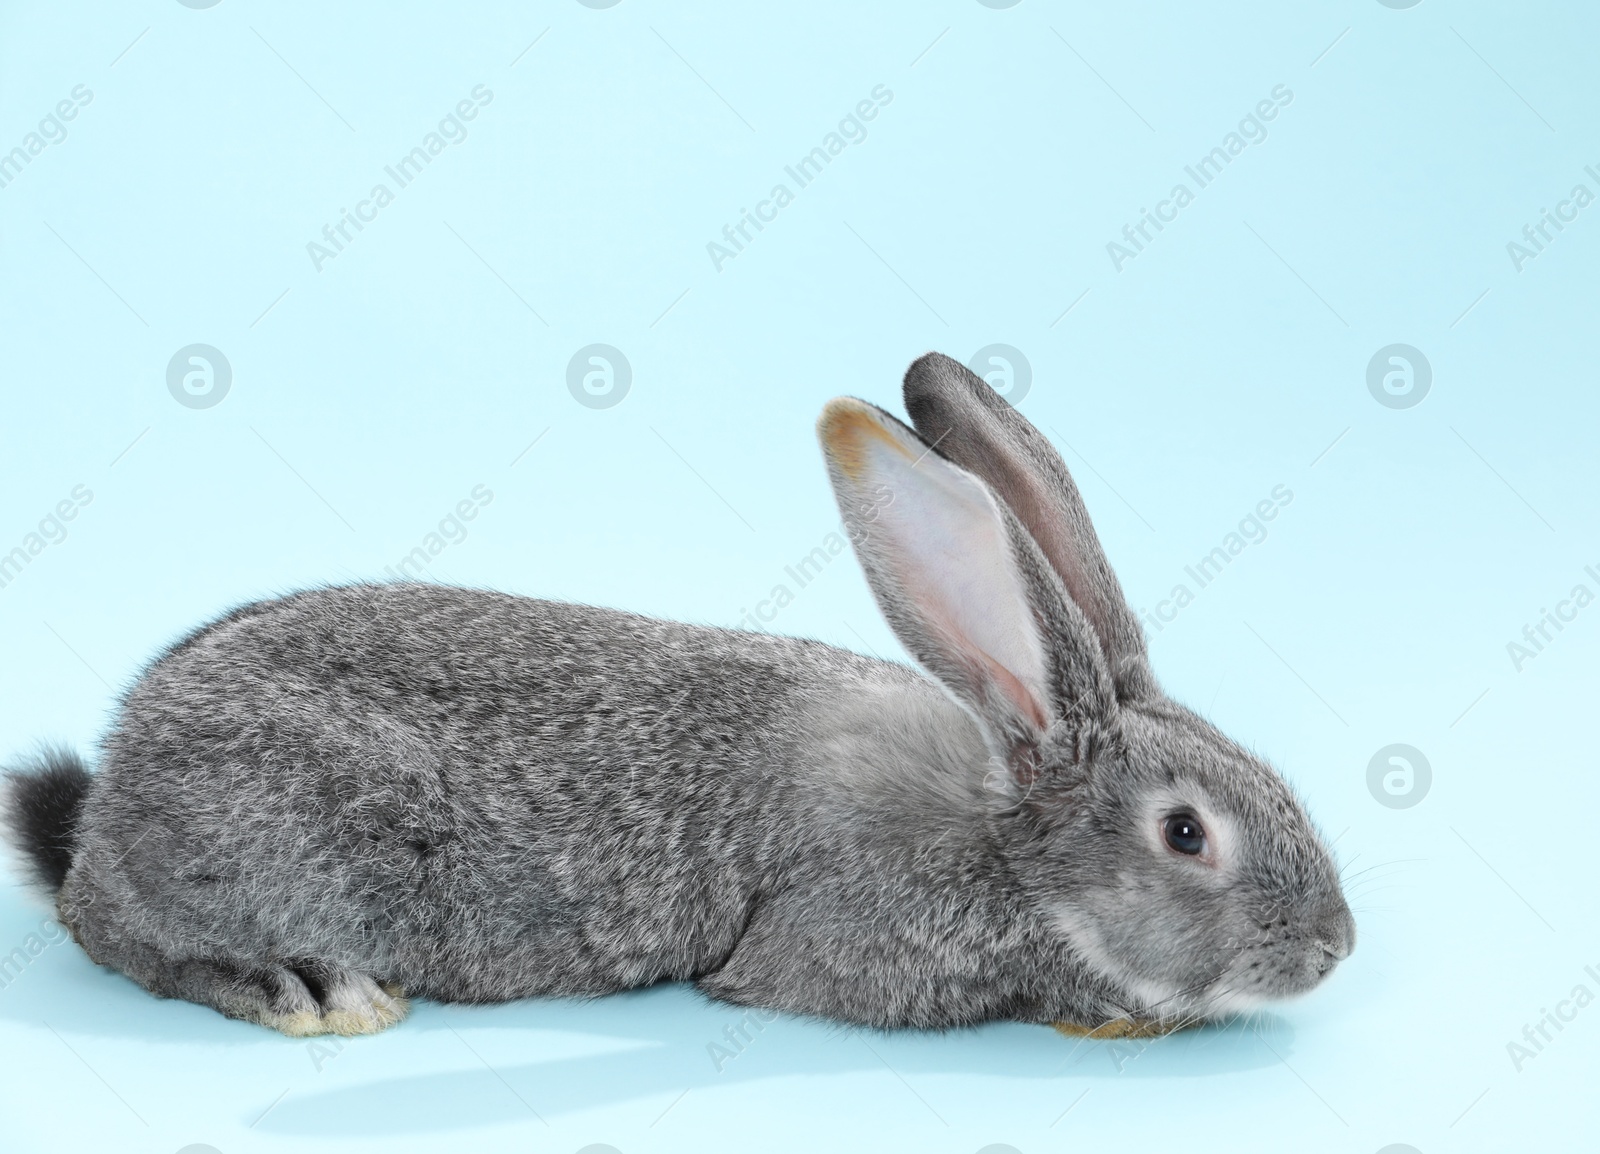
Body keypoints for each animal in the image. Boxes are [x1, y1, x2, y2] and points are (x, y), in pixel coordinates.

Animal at [3, 353, 1350, 1037]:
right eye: (1186, 832)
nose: (1334, 946)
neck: (1007, 841)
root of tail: (110, 795)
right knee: (128, 939)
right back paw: (309, 990)